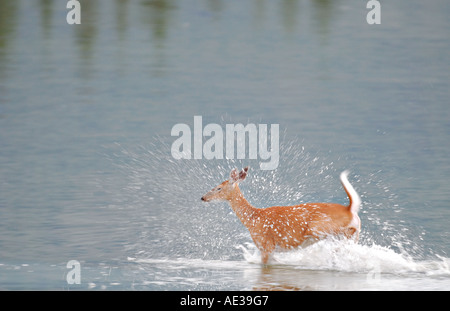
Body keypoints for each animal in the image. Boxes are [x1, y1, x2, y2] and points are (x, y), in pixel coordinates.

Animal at [201, 167, 362, 264]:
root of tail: (349, 209)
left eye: (218, 188)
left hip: (318, 227)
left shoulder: (265, 245)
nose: (203, 197)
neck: (252, 219)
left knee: (347, 232)